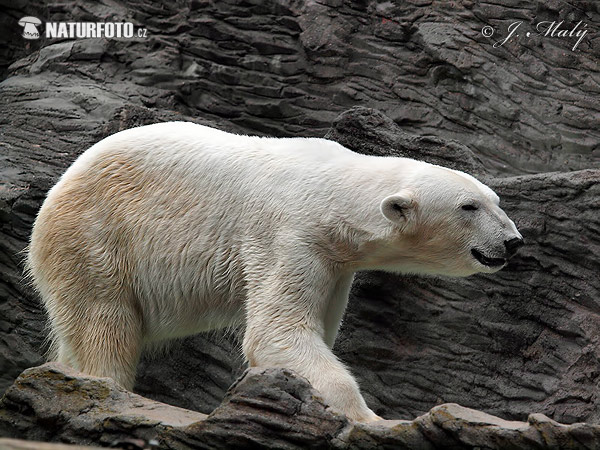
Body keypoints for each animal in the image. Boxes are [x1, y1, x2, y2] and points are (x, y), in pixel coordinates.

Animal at [28, 122, 524, 422]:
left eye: (495, 200)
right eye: (468, 207)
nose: (512, 241)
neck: (332, 192)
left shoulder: (335, 262)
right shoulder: (289, 233)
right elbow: (277, 331)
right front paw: (373, 420)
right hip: (96, 236)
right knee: (104, 324)